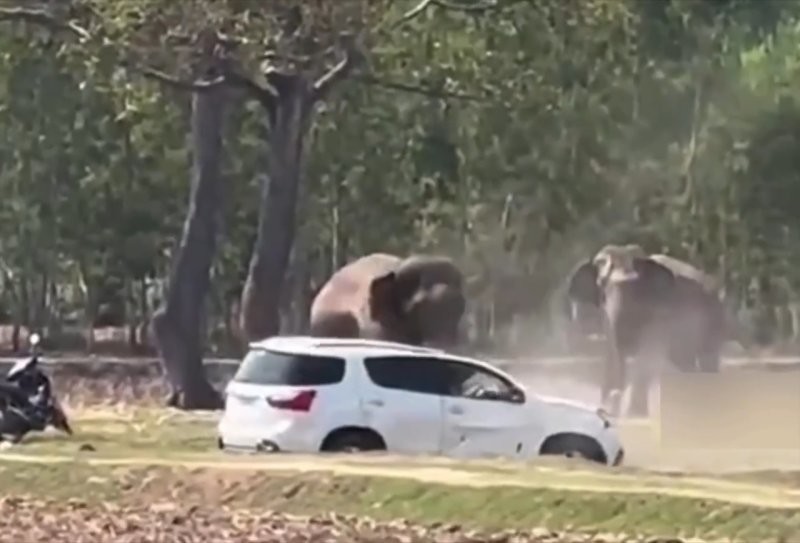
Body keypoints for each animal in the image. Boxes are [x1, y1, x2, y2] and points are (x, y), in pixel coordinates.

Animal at [565, 244, 725, 417]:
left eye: (637, 288)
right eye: (603, 286)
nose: (609, 409)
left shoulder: (661, 310)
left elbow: (647, 353)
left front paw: (634, 415)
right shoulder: (607, 316)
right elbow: (612, 348)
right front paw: (607, 410)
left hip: (711, 317)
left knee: (706, 359)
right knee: (685, 362)